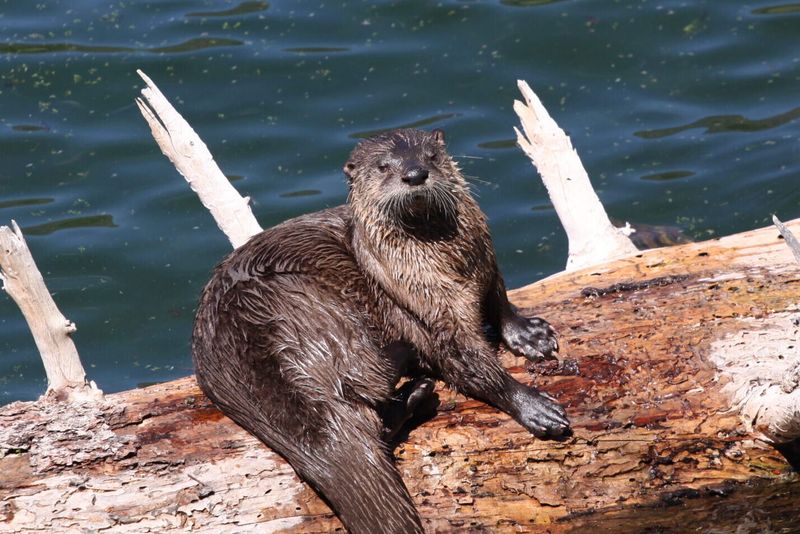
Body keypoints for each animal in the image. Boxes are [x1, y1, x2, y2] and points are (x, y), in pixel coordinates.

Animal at [192, 128, 570, 533]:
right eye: (383, 166)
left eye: (431, 155)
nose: (415, 174)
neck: (449, 267)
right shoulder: (428, 311)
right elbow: (464, 361)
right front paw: (533, 406)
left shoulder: (486, 261)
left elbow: (499, 299)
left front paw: (530, 334)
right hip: (307, 307)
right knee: (366, 379)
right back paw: (409, 371)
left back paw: (415, 393)